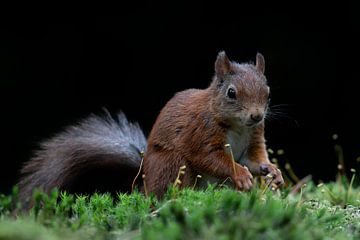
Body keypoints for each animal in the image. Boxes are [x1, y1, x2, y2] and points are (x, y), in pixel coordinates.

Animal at [18, 51, 284, 207]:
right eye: (231, 93)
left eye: (268, 92)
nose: (256, 115)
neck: (238, 126)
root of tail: (144, 178)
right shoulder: (201, 132)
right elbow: (211, 158)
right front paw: (240, 174)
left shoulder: (253, 137)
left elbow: (254, 159)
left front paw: (273, 171)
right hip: (174, 164)